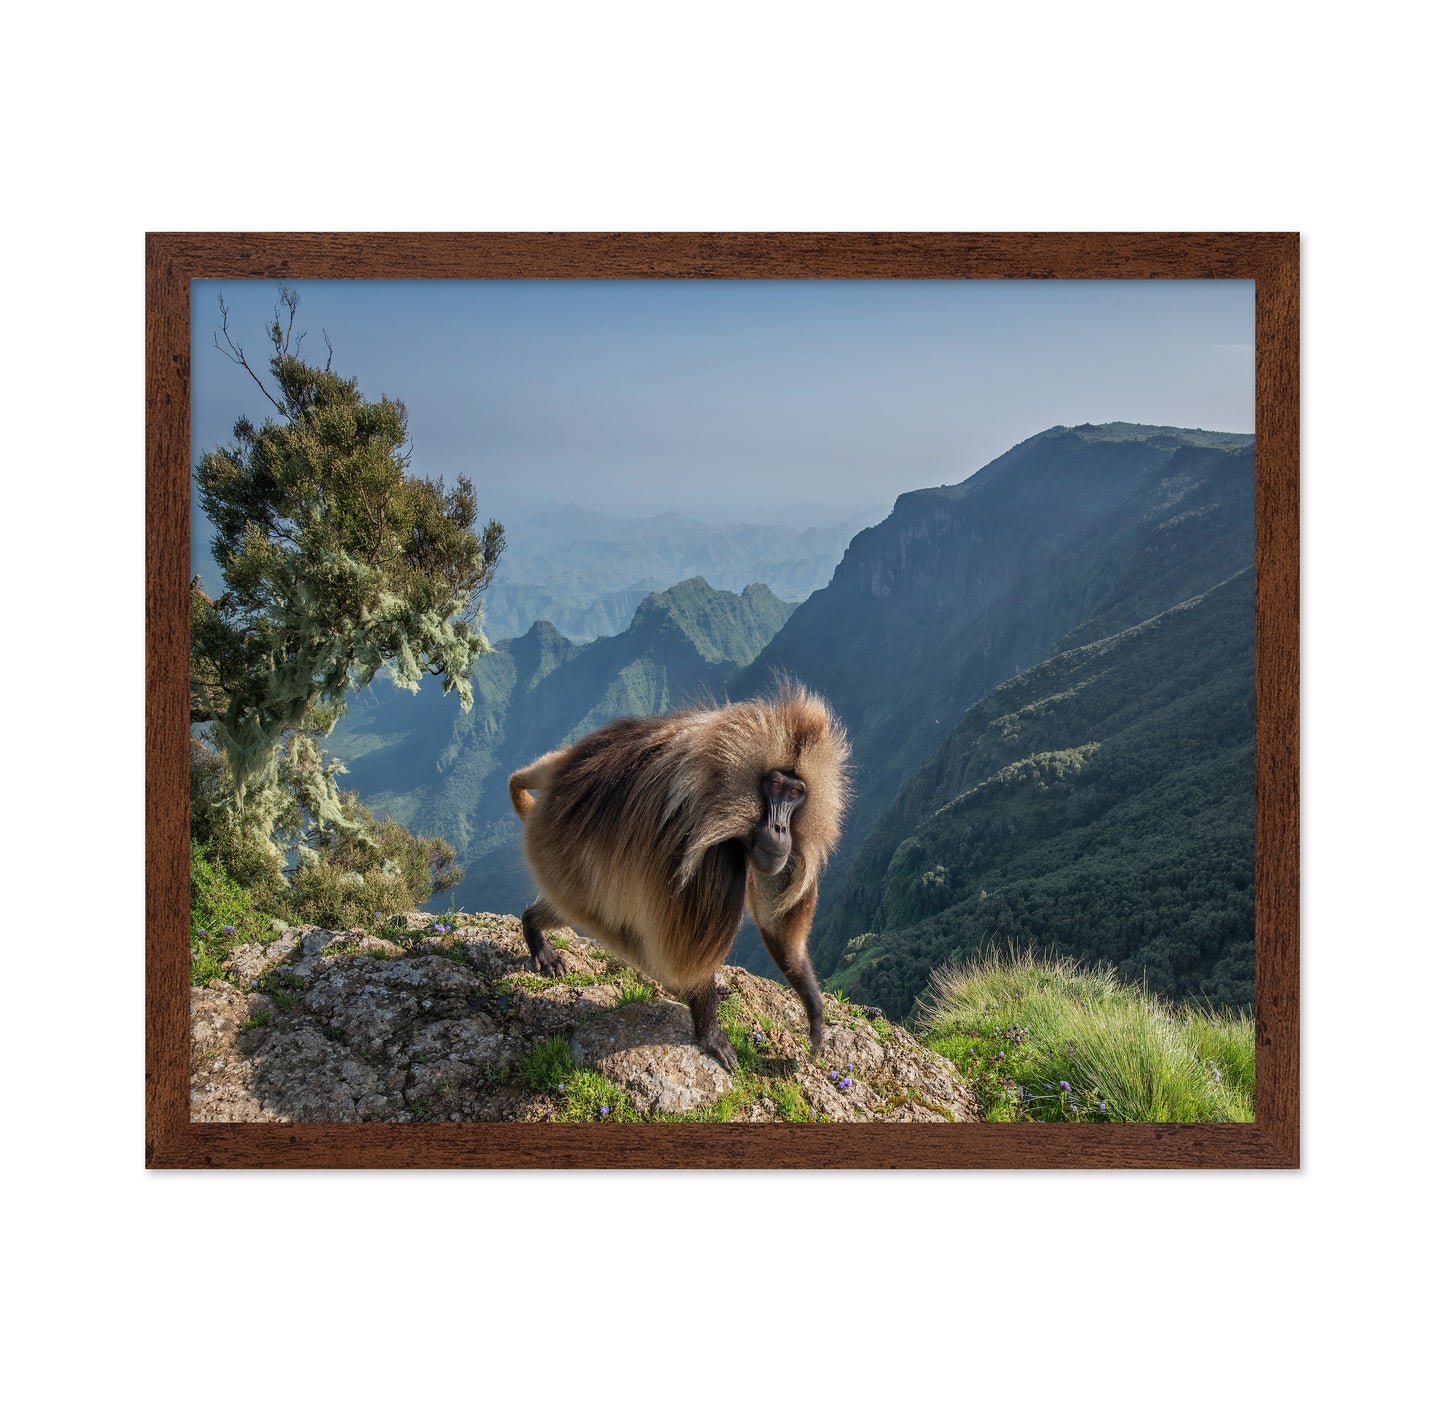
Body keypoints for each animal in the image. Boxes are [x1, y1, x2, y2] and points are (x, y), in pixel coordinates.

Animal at [508, 684, 850, 1070]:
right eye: (774, 784)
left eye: (795, 792)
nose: (780, 828)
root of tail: (562, 772)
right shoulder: (711, 857)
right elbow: (688, 953)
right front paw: (709, 1033)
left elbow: (777, 929)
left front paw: (814, 1013)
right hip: (557, 859)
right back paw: (535, 930)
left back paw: (533, 924)